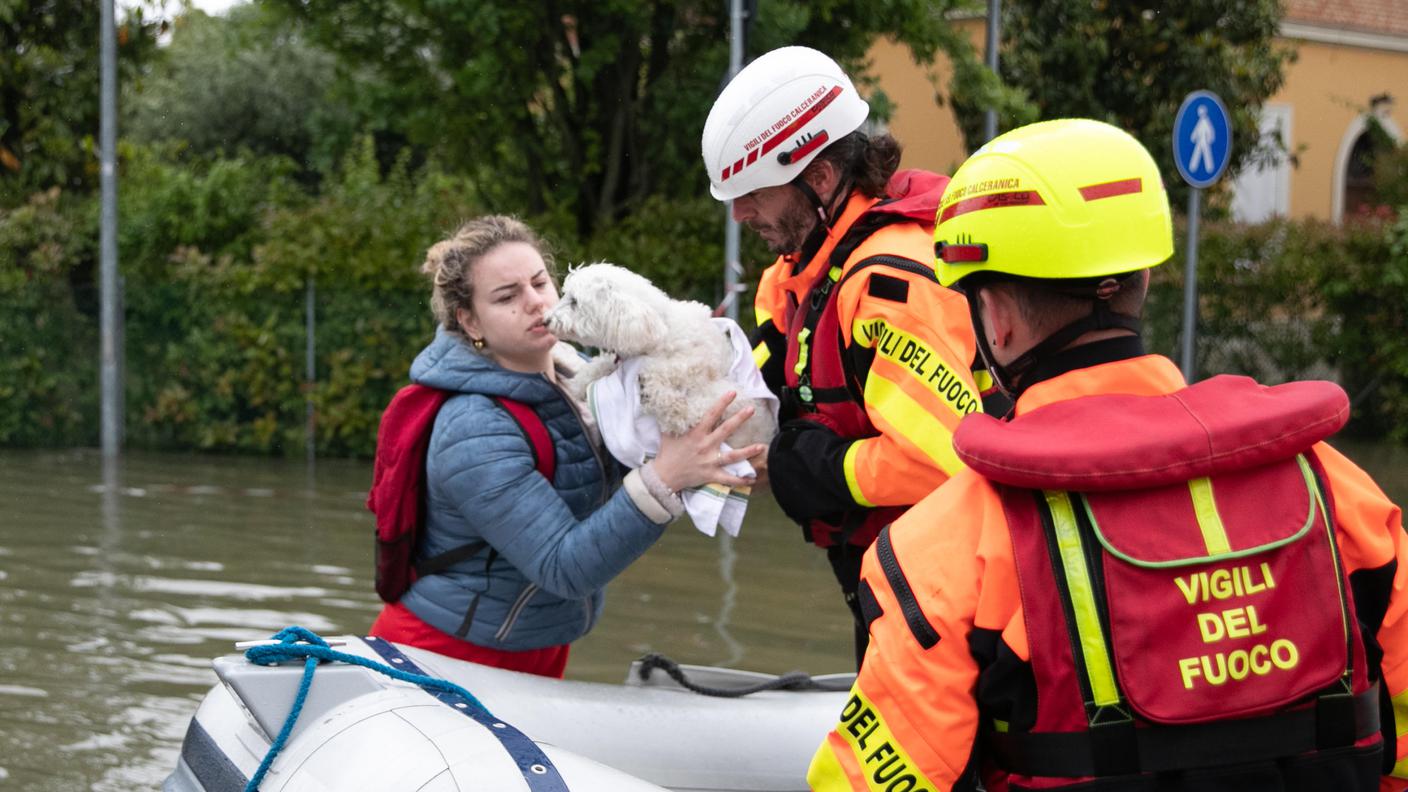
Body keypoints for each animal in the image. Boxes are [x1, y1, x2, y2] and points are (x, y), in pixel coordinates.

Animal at [540, 262, 782, 450]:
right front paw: (579, 384)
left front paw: (668, 405)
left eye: (574, 302)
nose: (545, 320)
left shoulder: (718, 384)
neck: (660, 328)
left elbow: (669, 382)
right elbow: (600, 366)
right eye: (566, 296)